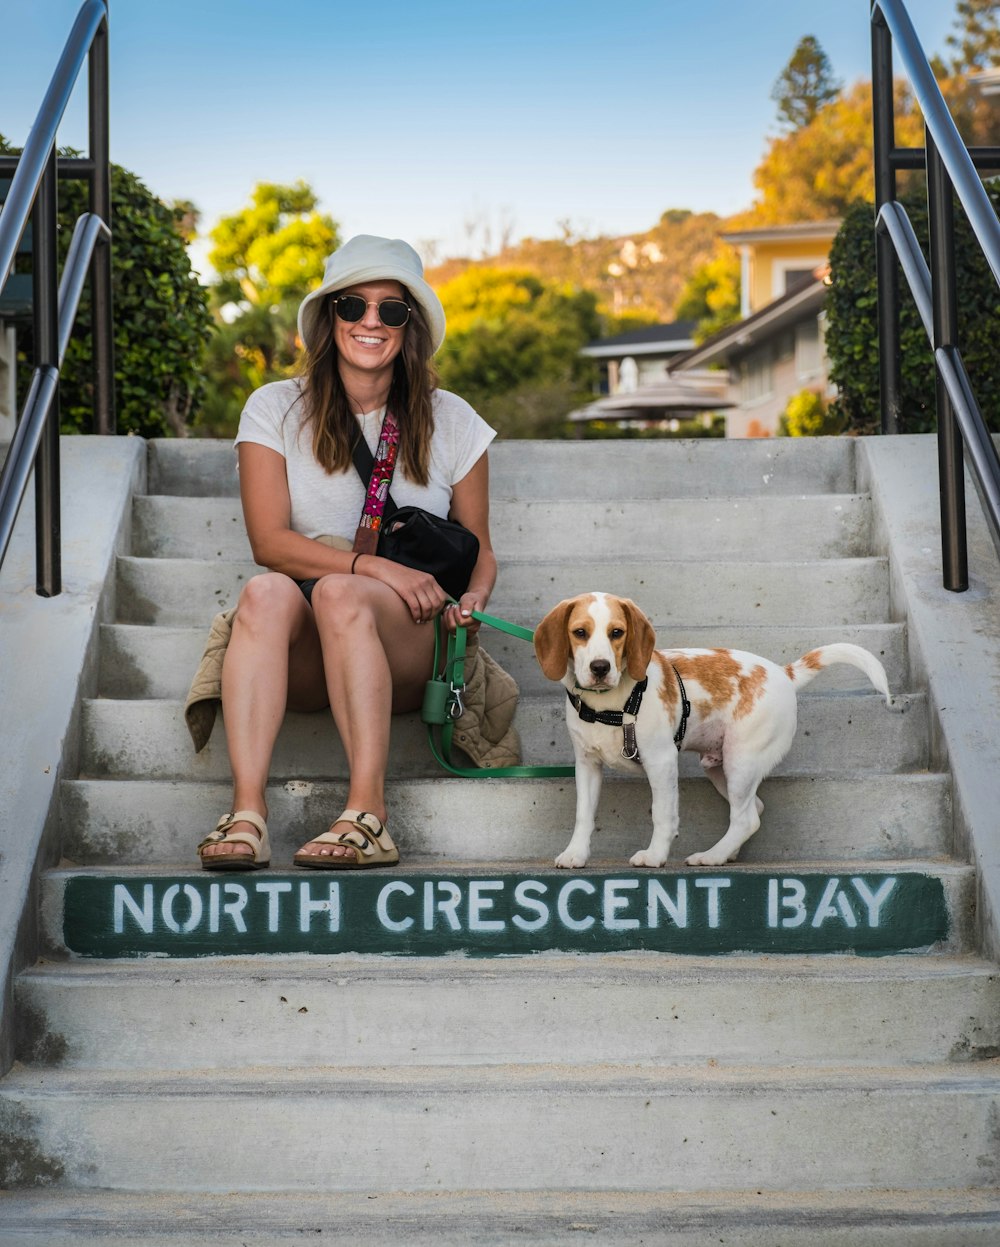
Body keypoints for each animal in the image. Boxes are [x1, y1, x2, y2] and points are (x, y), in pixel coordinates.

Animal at [528, 591, 887, 867]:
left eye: (617, 633)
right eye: (580, 633)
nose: (600, 667)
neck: (610, 703)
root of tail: (783, 673)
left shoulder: (661, 761)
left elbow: (663, 815)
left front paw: (655, 856)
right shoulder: (587, 765)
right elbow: (583, 815)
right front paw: (576, 854)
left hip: (742, 760)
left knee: (745, 817)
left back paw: (711, 856)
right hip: (720, 767)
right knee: (753, 810)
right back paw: (726, 853)